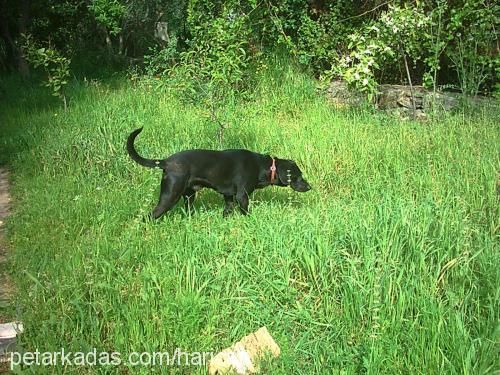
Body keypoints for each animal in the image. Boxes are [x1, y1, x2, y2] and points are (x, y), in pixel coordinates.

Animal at [127, 128, 310, 219]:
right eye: (299, 176)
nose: (309, 187)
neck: (261, 166)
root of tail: (166, 161)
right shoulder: (242, 196)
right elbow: (247, 214)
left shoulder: (229, 198)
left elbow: (226, 212)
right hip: (170, 196)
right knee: (150, 216)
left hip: (189, 196)